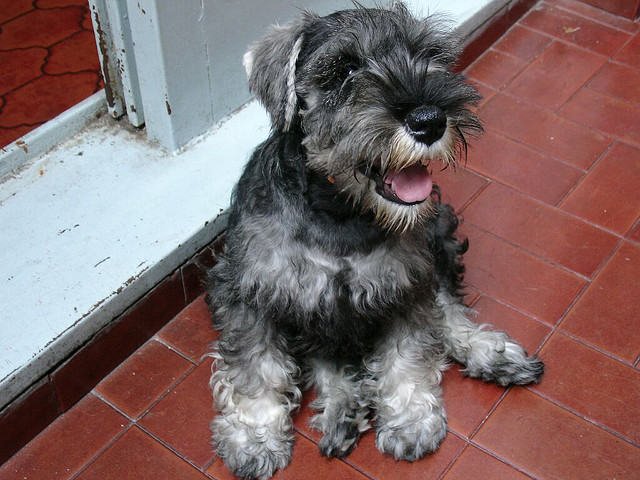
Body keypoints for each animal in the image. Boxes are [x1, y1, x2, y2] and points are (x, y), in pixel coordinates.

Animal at [206, 2, 544, 476]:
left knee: (447, 308)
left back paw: (490, 353)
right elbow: (256, 368)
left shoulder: (407, 284)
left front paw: (411, 418)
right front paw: (254, 436)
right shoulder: (249, 294)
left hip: (438, 233)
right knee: (328, 360)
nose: (429, 120)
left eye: (428, 55)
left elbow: (409, 351)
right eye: (345, 69)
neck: (340, 210)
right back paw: (343, 411)